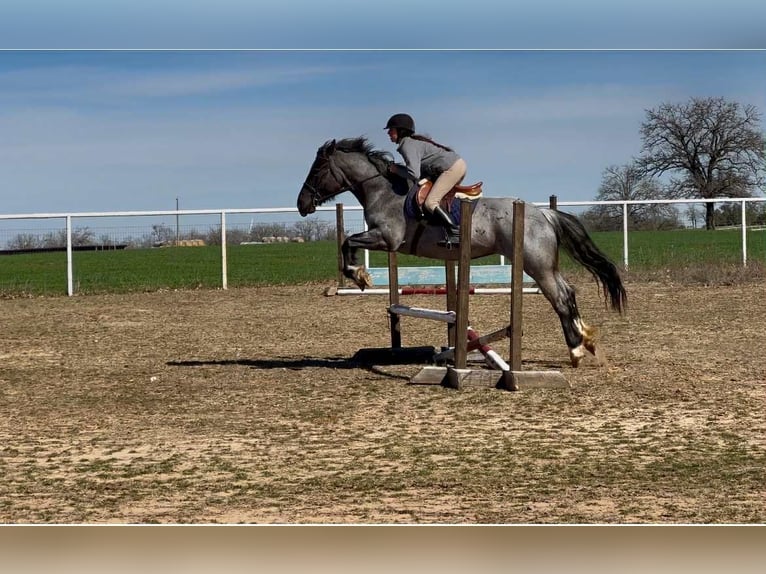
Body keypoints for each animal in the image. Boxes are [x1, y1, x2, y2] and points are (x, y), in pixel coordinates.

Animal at [297, 137, 627, 367]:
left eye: (317, 169)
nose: (302, 204)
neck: (383, 189)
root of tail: (543, 213)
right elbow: (347, 243)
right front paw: (360, 276)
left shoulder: (386, 239)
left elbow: (348, 243)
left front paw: (360, 276)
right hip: (545, 264)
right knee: (568, 292)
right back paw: (586, 340)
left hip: (537, 266)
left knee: (559, 297)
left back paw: (576, 349)